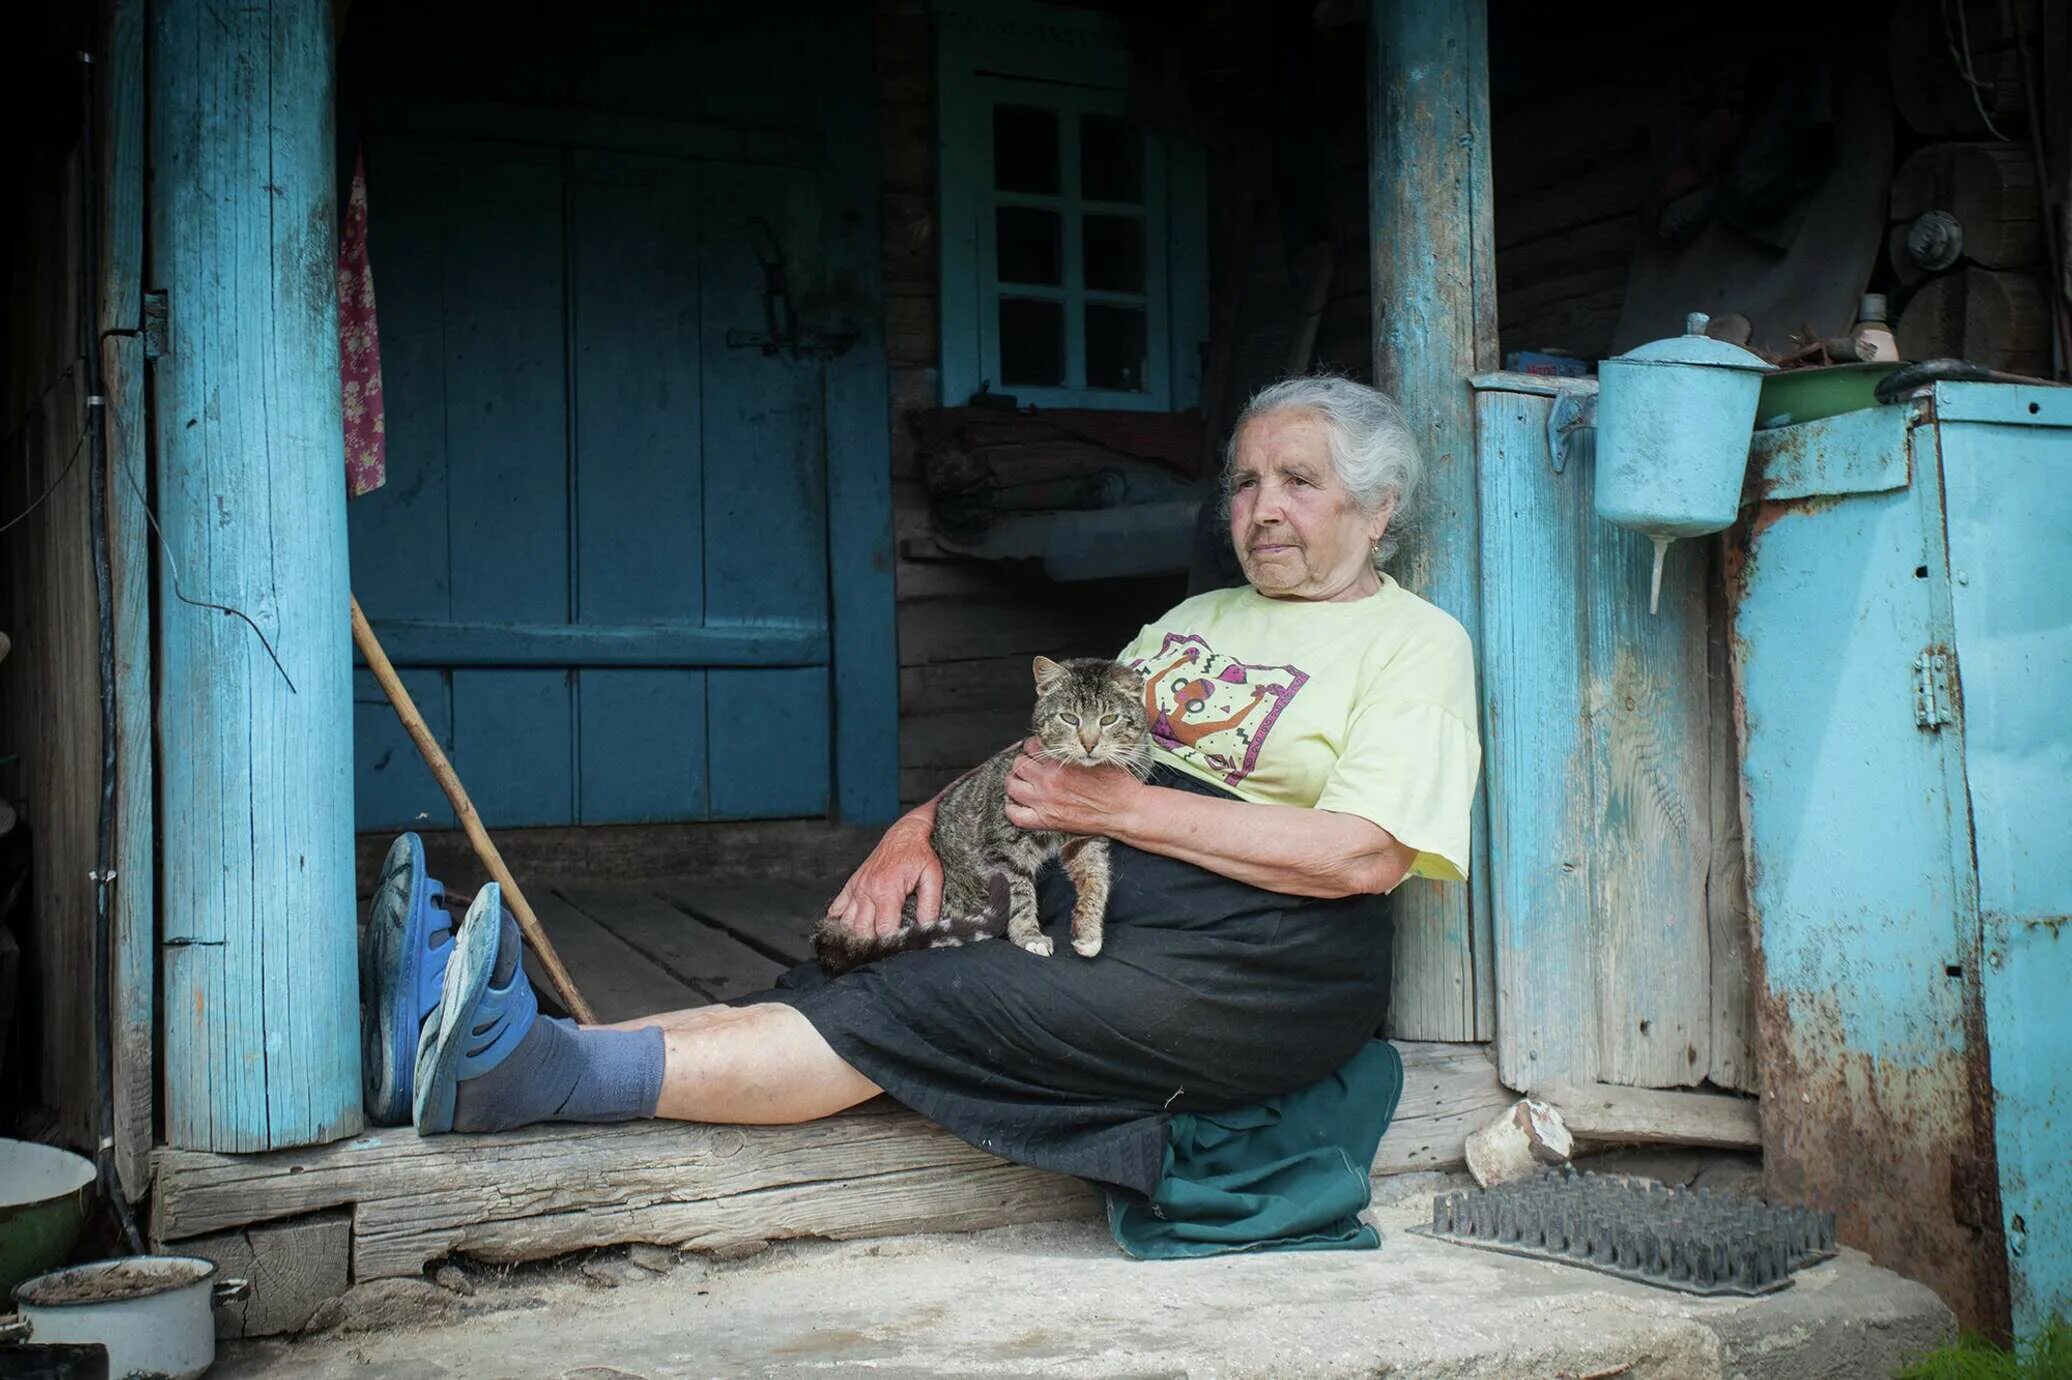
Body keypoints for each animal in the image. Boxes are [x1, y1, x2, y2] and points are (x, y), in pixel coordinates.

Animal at [812, 654, 1152, 965]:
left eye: (1108, 719)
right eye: (1069, 718)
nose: (1089, 744)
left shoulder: (1087, 838)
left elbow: (1097, 879)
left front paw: (1088, 933)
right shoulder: (1002, 848)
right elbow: (1018, 894)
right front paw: (1029, 936)